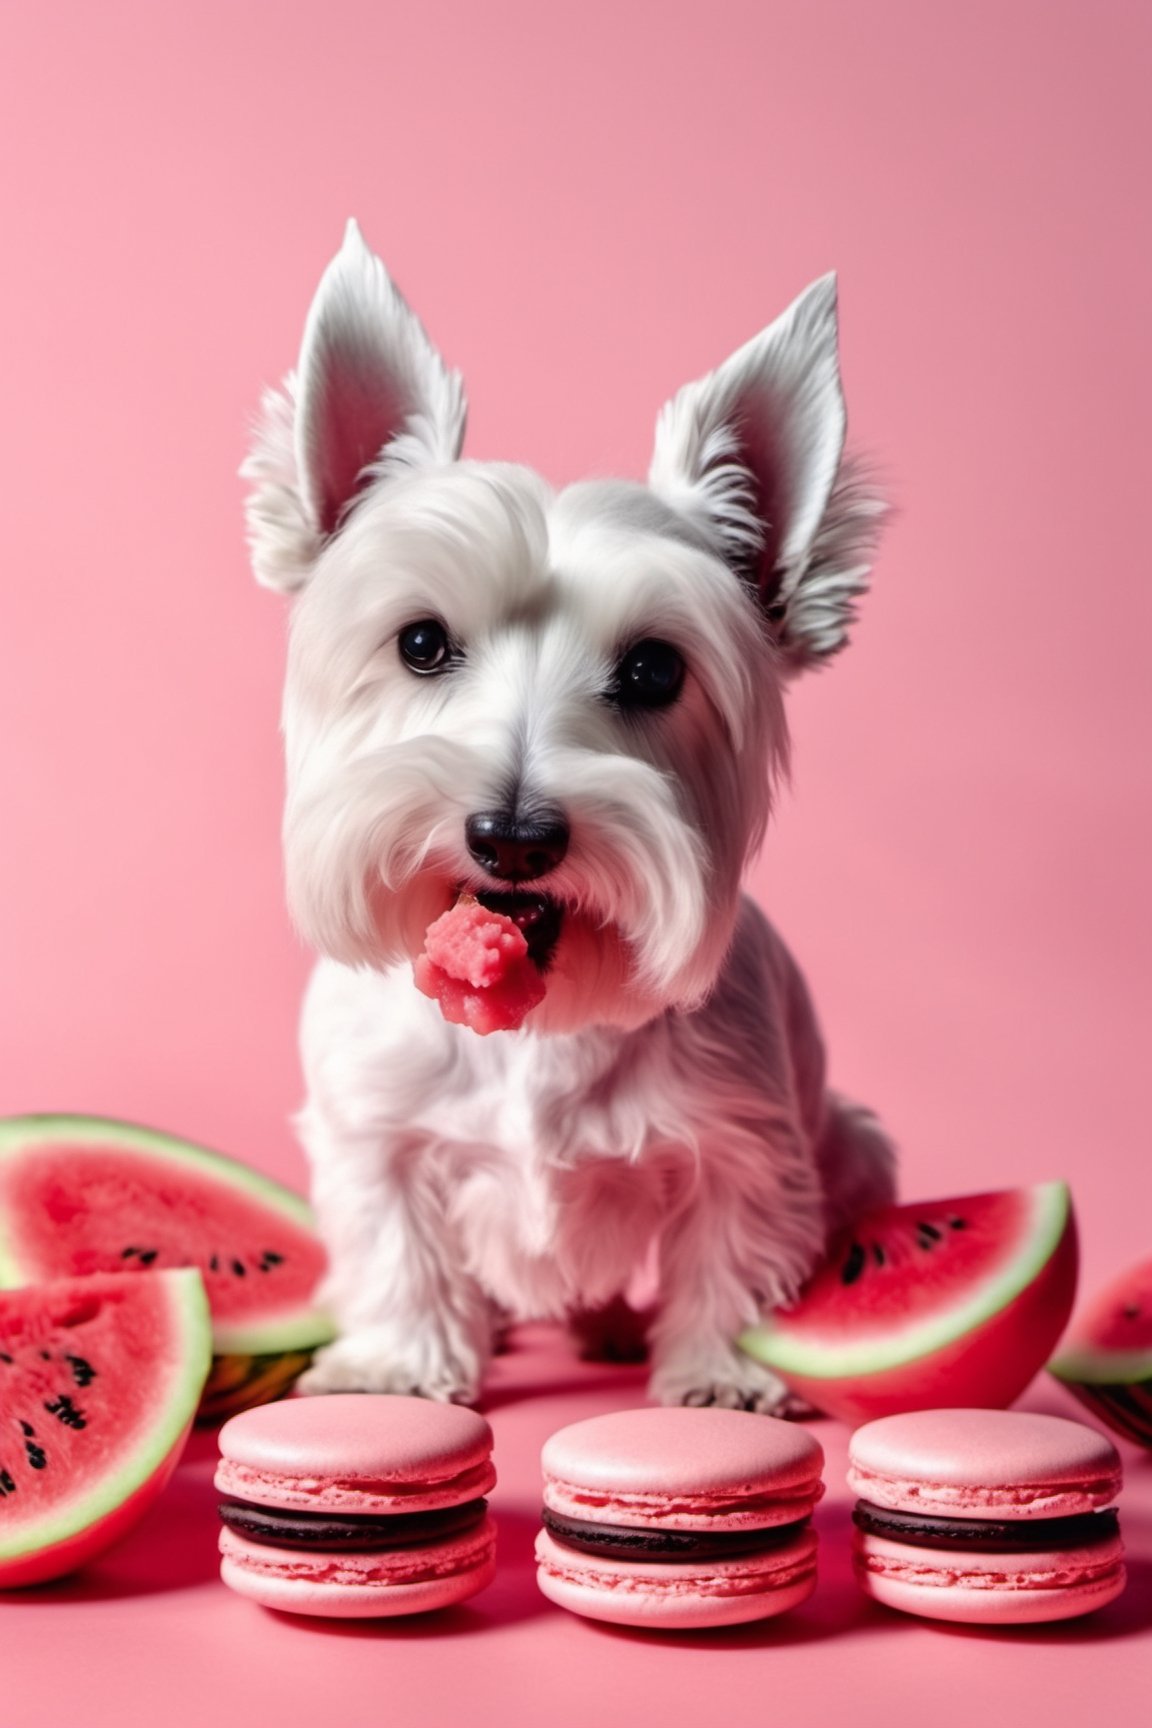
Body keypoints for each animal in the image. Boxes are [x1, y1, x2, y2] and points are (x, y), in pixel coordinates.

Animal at [241, 222, 891, 1410]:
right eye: (420, 643)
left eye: (653, 669)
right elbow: (394, 1242)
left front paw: (722, 1372)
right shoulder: (373, 1132)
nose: (513, 837)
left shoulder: (749, 1143)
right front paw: (400, 1365)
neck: (536, 1026)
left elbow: (734, 1253)